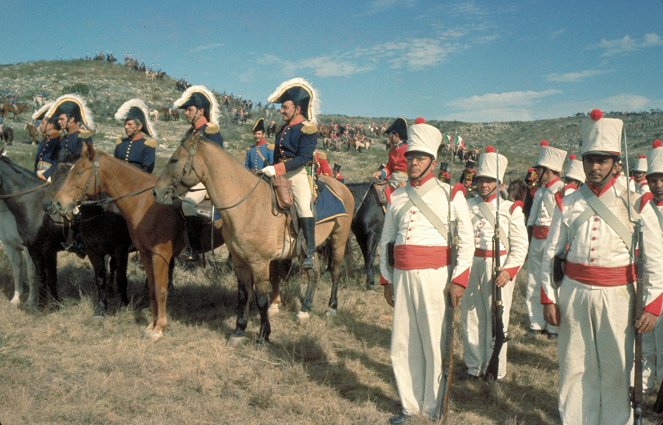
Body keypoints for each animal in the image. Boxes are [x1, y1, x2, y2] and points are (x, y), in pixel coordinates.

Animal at [0, 154, 134, 314]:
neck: (33, 205)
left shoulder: (48, 250)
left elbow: (50, 277)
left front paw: (54, 306)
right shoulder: (33, 249)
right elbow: (40, 277)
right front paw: (41, 306)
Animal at [47, 144, 226, 340]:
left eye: (78, 172)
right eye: (56, 173)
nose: (56, 203)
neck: (145, 204)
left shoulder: (155, 254)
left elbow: (159, 289)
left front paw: (159, 328)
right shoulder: (141, 253)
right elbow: (150, 288)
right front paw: (151, 326)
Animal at [153, 134, 356, 342]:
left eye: (174, 159)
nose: (156, 191)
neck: (248, 205)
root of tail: (342, 187)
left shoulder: (259, 262)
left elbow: (261, 298)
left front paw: (264, 334)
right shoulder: (239, 260)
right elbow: (243, 295)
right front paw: (239, 330)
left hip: (338, 239)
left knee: (335, 271)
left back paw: (331, 307)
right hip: (307, 249)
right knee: (314, 272)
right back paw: (304, 309)